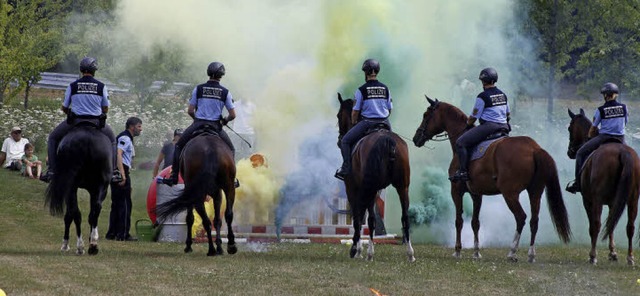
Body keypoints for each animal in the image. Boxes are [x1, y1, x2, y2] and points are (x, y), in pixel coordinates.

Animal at [46, 124, 112, 254]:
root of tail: (87, 140)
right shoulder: (94, 189)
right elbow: (91, 214)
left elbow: (69, 215)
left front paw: (65, 244)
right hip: (101, 185)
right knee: (95, 209)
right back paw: (93, 244)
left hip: (73, 186)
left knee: (77, 213)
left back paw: (80, 246)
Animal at [336, 92, 416, 262]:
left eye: (339, 115)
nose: (340, 139)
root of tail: (388, 141)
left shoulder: (352, 189)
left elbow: (358, 218)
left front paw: (356, 249)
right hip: (402, 187)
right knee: (405, 218)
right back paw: (410, 253)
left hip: (371, 188)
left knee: (370, 220)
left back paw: (369, 253)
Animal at [412, 97, 572, 262]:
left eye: (426, 115)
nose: (416, 138)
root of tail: (534, 148)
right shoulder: (476, 194)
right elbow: (475, 222)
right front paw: (476, 252)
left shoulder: (456, 191)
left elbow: (459, 221)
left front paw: (458, 250)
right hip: (535, 192)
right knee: (534, 221)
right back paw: (531, 254)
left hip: (510, 194)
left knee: (521, 217)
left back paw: (512, 252)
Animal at [568, 109, 636, 266]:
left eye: (569, 128)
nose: (570, 152)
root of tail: (622, 153)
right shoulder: (613, 203)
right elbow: (611, 224)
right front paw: (613, 253)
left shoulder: (588, 201)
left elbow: (593, 226)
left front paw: (597, 254)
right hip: (633, 200)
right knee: (630, 226)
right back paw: (630, 257)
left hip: (597, 200)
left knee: (597, 224)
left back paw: (593, 256)